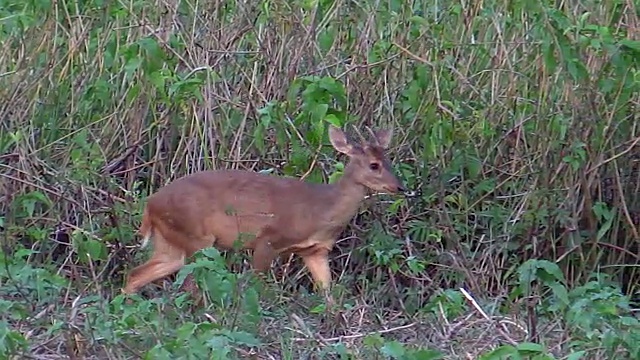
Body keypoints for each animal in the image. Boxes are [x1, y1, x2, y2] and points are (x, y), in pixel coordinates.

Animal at [121, 124, 404, 306]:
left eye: (389, 161)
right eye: (374, 165)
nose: (400, 187)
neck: (321, 210)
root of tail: (150, 205)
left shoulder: (315, 250)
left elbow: (329, 294)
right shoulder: (268, 239)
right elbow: (257, 287)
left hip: (171, 243)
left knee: (136, 274)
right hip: (196, 237)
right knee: (191, 283)